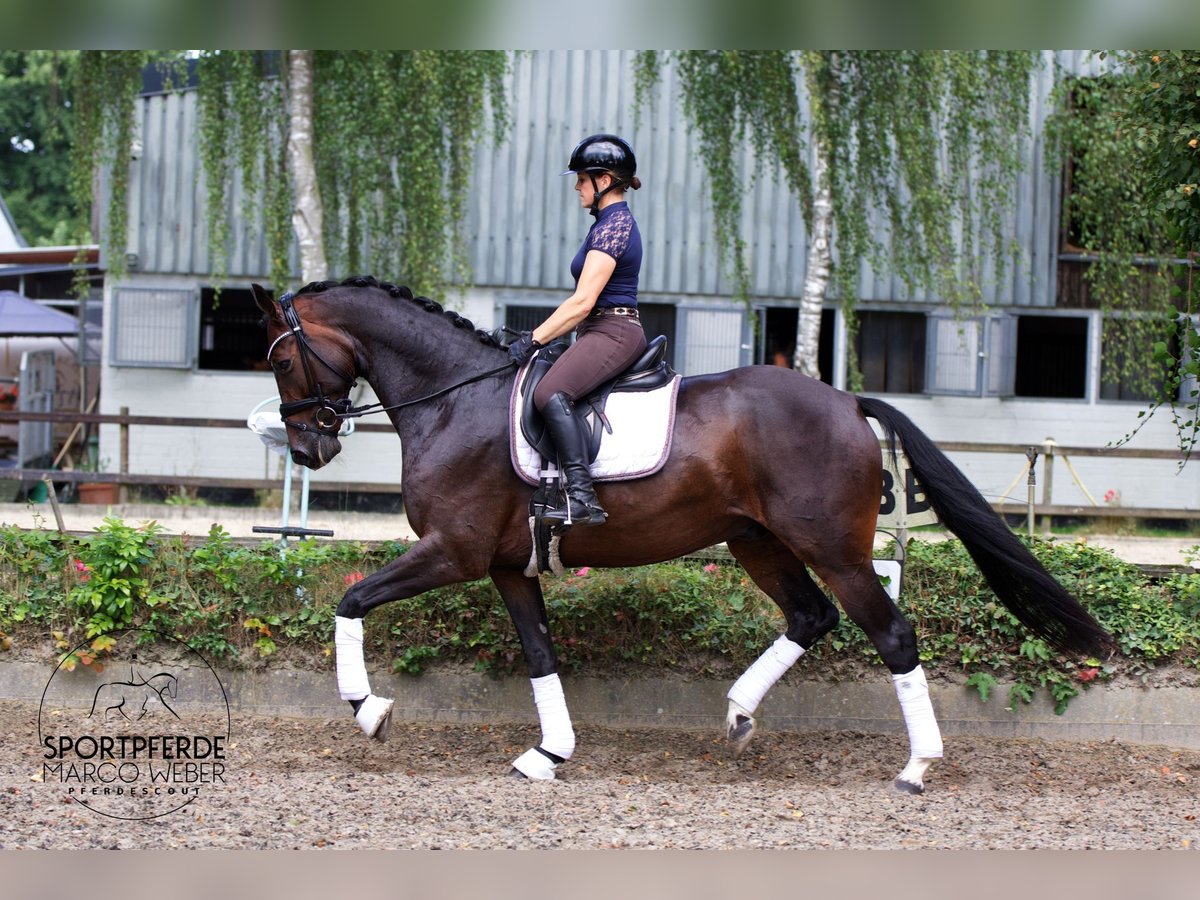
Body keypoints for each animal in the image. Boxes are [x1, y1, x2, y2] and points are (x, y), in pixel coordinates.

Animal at [248, 274, 1108, 796]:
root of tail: (846, 401)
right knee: (810, 617)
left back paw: (917, 765)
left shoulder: (452, 553)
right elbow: (540, 655)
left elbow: (352, 602)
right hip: (757, 541)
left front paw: (369, 711)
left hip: (833, 548)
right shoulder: (506, 566)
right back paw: (738, 714)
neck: (456, 399)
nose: (307, 450)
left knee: (891, 634)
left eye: (282, 358)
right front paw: (548, 753)